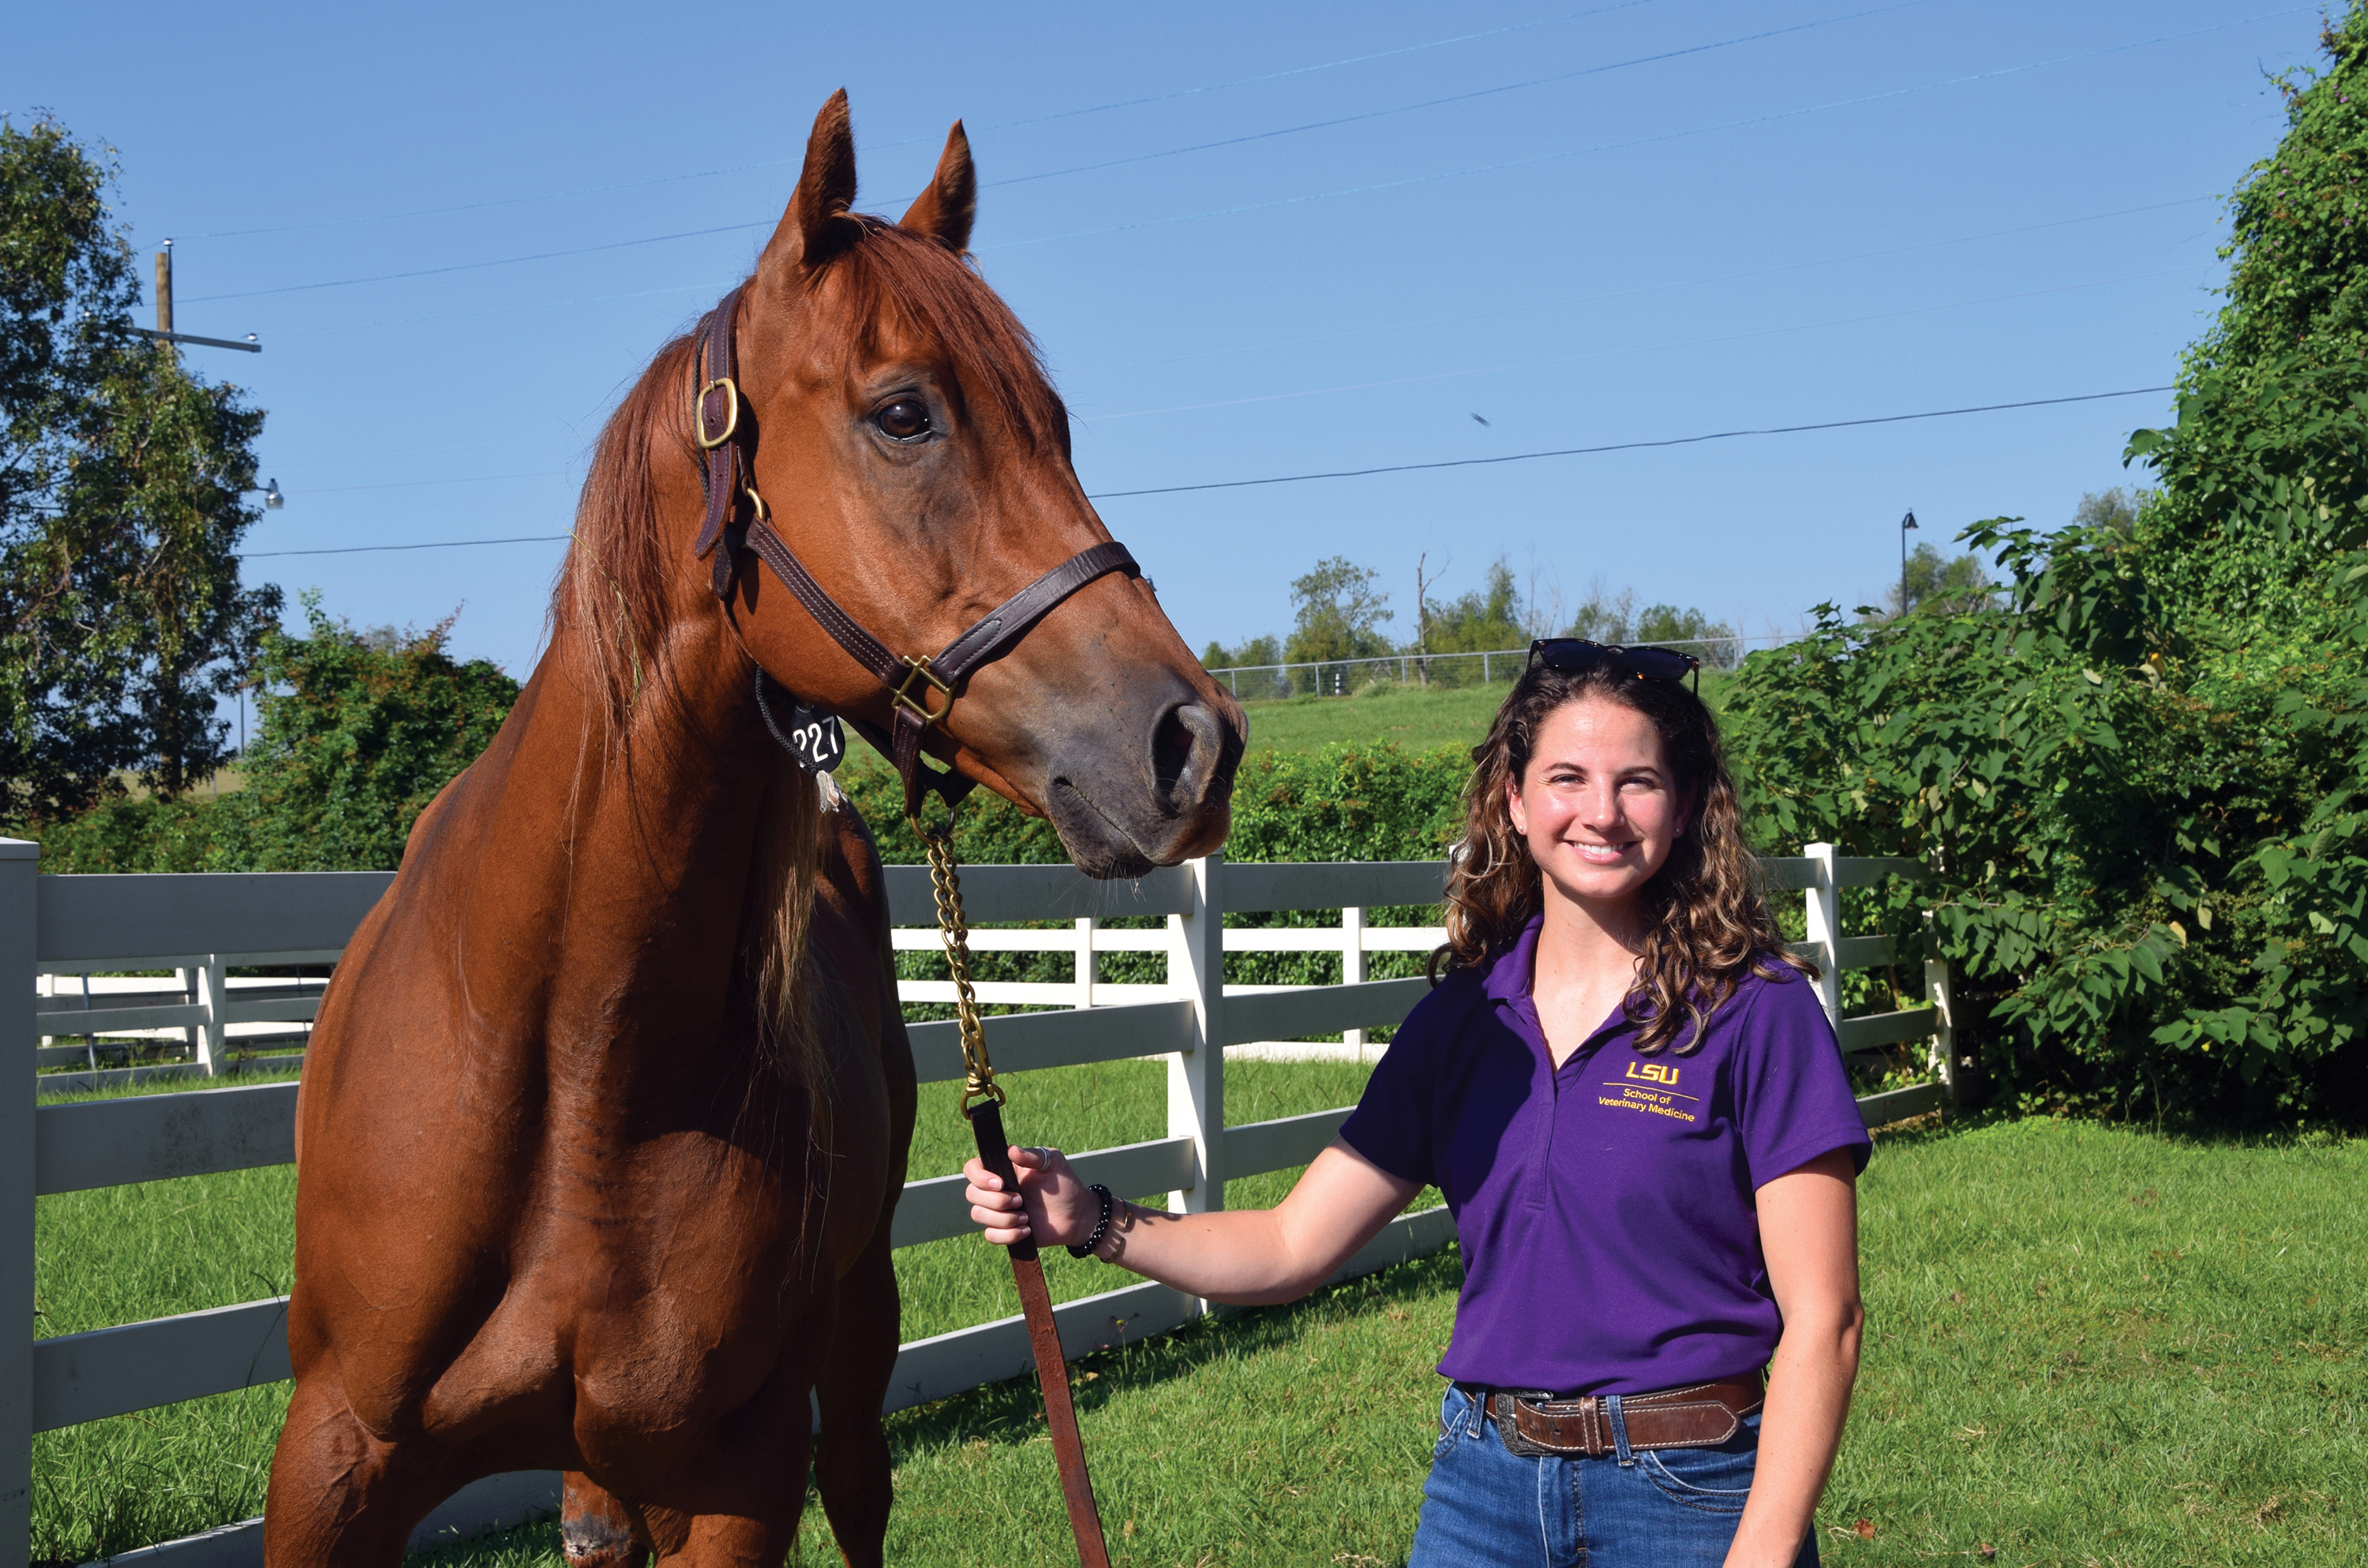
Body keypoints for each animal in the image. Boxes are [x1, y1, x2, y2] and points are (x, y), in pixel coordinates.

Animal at [264, 92, 1241, 1562]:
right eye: (905, 414)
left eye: (1058, 425)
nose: (1193, 744)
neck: (566, 1060)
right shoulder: (332, 1460)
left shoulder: (739, 1471)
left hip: (852, 1341)